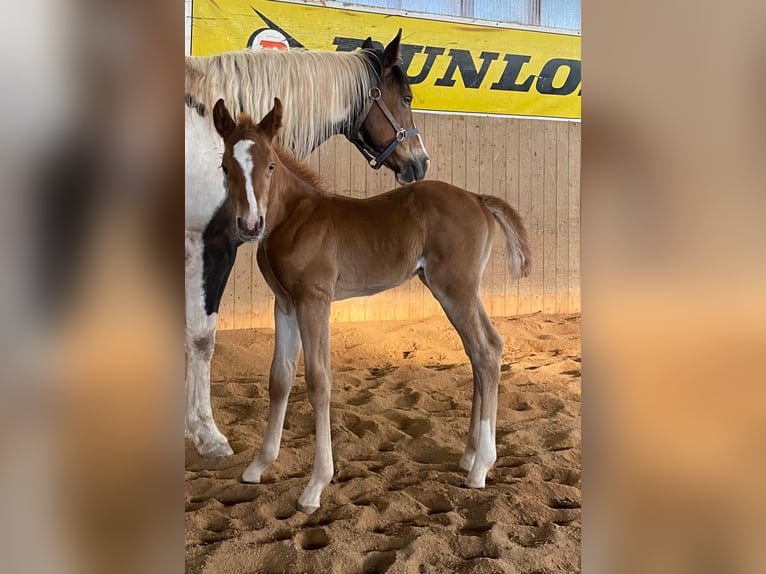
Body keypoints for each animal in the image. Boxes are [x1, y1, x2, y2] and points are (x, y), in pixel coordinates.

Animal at [212, 97, 531, 514]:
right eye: (225, 166)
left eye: (269, 165)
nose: (250, 224)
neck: (295, 219)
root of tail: (478, 199)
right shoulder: (284, 303)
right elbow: (279, 379)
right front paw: (258, 466)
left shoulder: (314, 299)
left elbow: (318, 381)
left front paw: (315, 486)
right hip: (448, 289)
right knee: (478, 352)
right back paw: (470, 456)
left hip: (456, 288)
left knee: (488, 349)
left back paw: (481, 468)